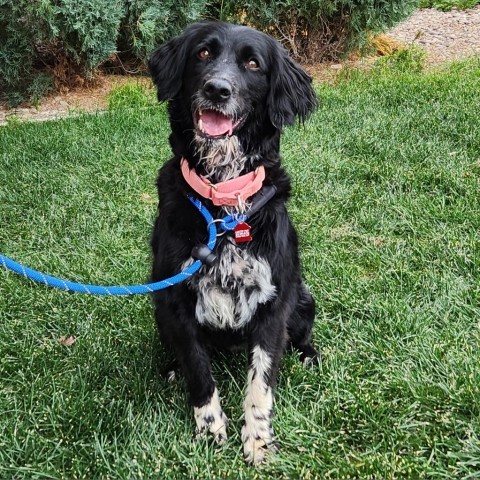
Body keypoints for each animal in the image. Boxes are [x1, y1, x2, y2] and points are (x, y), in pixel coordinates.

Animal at [148, 20, 316, 464]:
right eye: (203, 54)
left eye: (253, 64)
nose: (217, 89)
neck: (223, 201)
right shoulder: (176, 302)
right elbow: (199, 372)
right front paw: (209, 431)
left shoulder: (273, 303)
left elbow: (261, 384)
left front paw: (258, 440)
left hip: (304, 299)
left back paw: (310, 358)